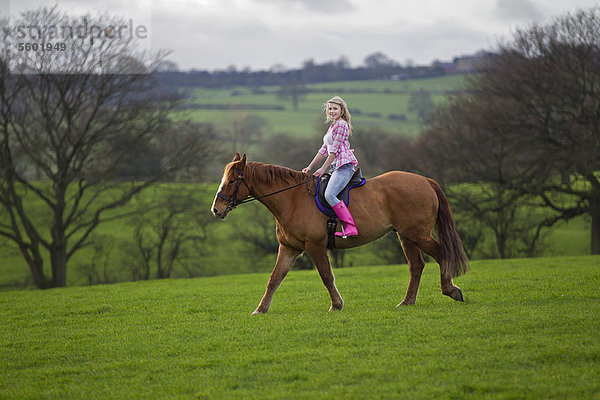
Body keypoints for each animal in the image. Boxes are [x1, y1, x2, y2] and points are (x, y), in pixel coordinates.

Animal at [211, 153, 468, 316]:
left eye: (232, 180)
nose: (216, 210)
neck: (292, 199)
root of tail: (424, 180)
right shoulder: (289, 248)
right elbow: (274, 279)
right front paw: (260, 309)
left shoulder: (314, 246)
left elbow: (326, 276)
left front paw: (336, 305)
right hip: (406, 237)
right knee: (417, 266)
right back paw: (407, 302)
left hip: (417, 235)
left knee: (441, 254)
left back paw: (451, 290)